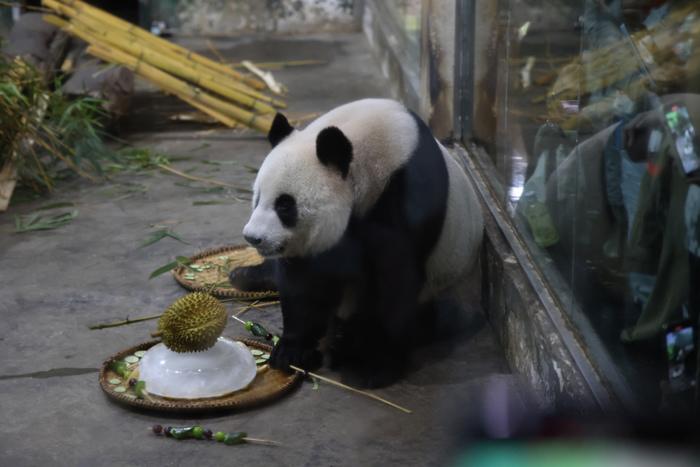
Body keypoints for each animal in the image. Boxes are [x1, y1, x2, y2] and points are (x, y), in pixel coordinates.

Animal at [230, 100, 482, 390]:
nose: (253, 237)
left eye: (285, 205)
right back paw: (244, 276)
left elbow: (395, 281)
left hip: (452, 282)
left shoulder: (406, 196)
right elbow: (302, 283)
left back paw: (345, 343)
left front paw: (373, 367)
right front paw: (291, 351)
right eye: (257, 197)